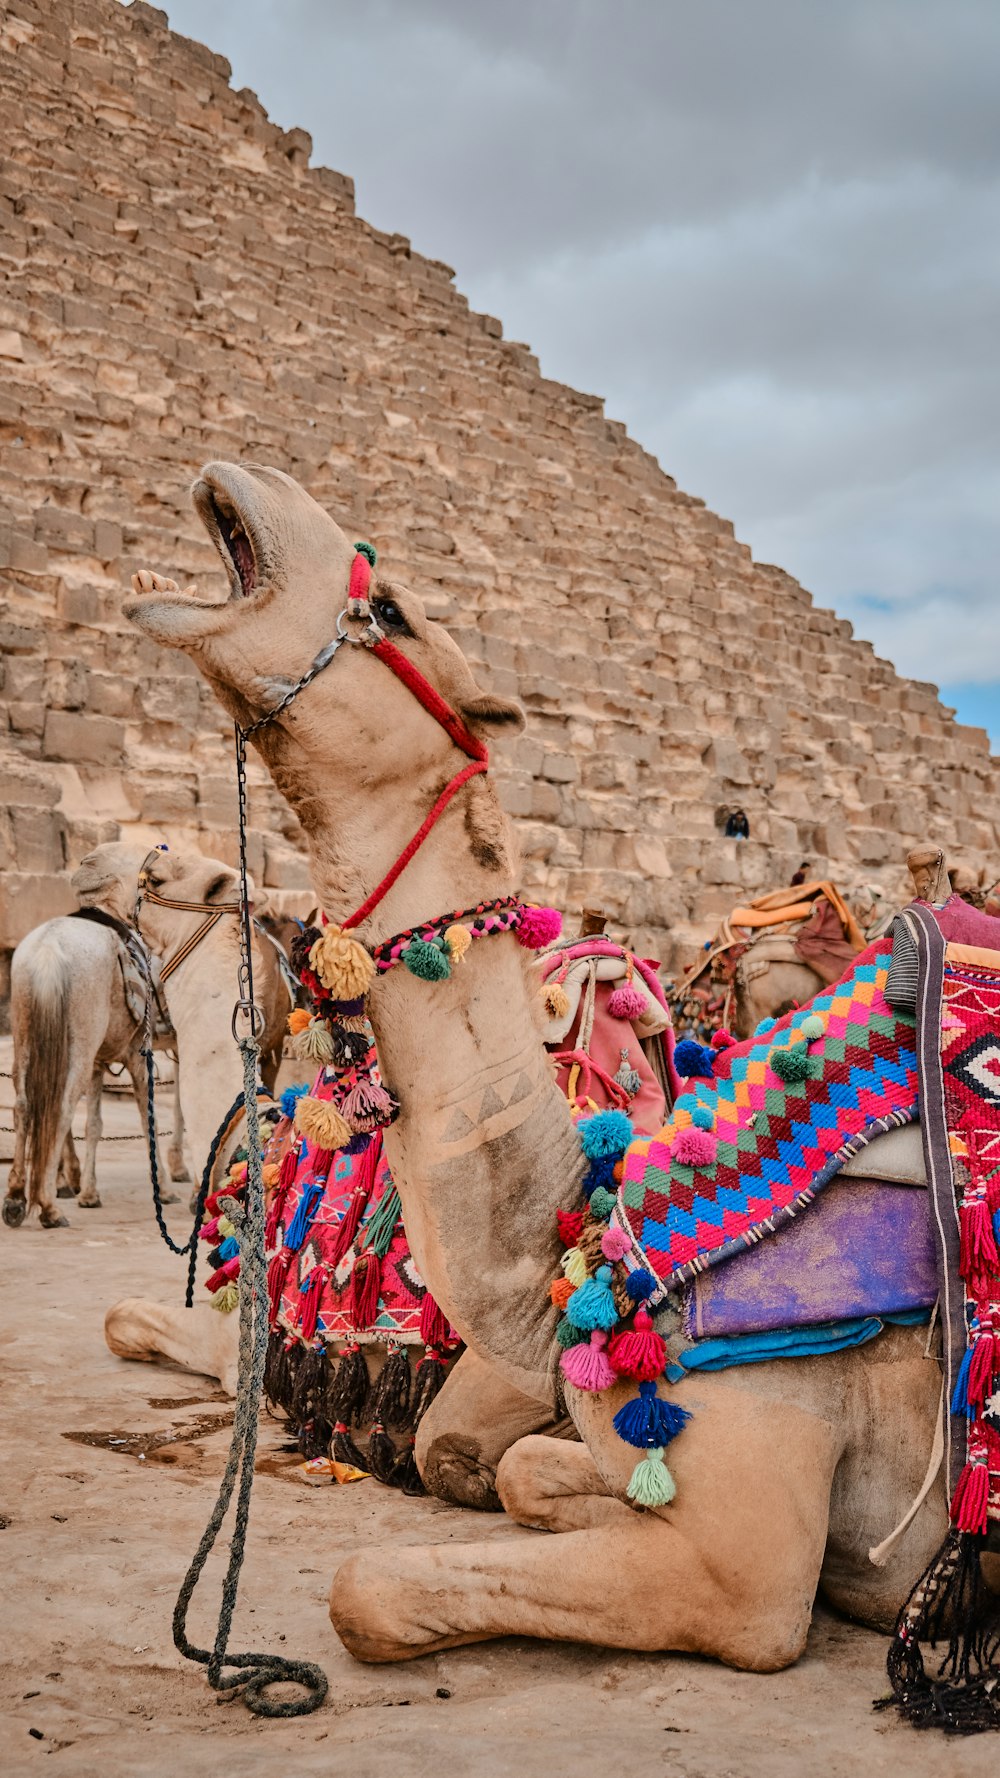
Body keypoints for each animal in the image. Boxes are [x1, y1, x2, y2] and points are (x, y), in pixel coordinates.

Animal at [116, 462, 960, 1678]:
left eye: (395, 611)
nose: (250, 477)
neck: (590, 1230)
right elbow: (511, 1475)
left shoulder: (747, 1576)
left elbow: (371, 1582)